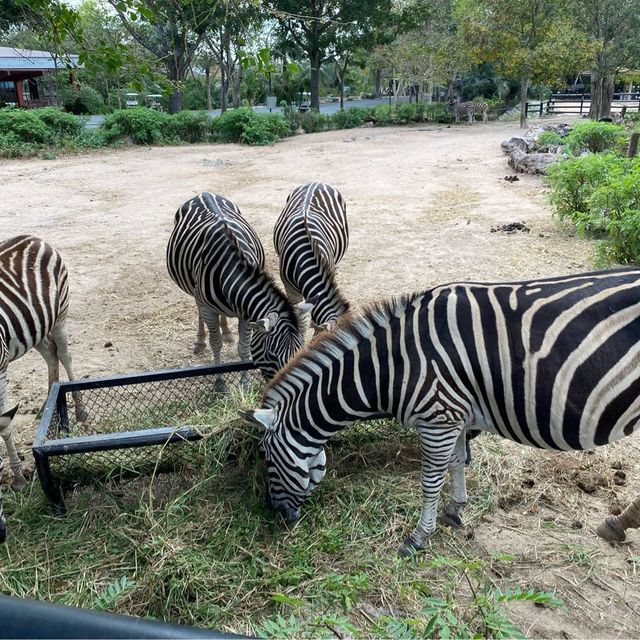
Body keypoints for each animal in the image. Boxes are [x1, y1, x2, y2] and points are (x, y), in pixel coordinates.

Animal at [0, 235, 85, 540]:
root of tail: (34, 237)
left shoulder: (0, 366)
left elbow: (3, 425)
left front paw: (18, 478)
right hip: (33, 327)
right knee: (51, 354)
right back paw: (48, 403)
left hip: (61, 312)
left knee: (64, 354)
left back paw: (80, 411)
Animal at [168, 191, 312, 380]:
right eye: (271, 355)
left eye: (300, 349)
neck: (228, 269)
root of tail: (204, 193)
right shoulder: (208, 309)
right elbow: (215, 343)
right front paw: (220, 379)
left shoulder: (246, 313)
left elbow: (243, 347)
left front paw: (245, 381)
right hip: (195, 291)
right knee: (199, 311)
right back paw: (200, 341)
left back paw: (227, 332)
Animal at [242, 270, 640, 556]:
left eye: (266, 456)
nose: (275, 514)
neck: (393, 366)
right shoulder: (455, 415)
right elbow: (457, 462)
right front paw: (455, 510)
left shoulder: (439, 418)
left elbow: (430, 479)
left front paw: (419, 538)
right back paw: (618, 524)